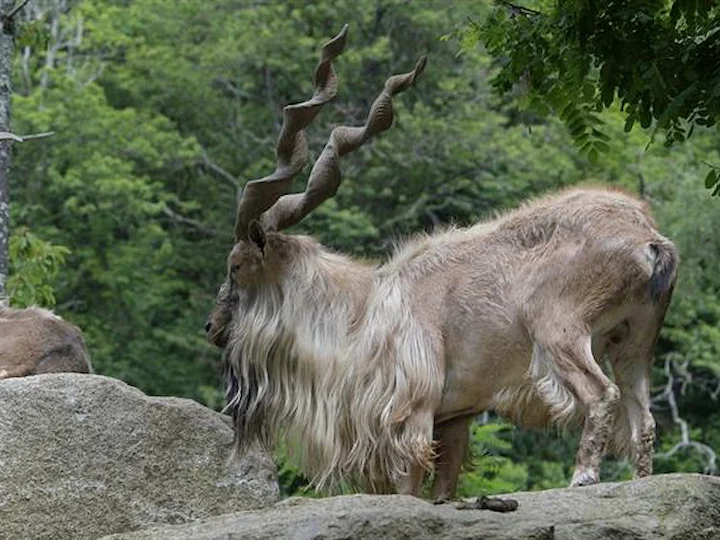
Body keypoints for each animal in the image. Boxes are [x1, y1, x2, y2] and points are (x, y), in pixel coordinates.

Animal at [205, 26, 678, 500]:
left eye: (235, 266)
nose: (211, 327)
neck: (362, 310)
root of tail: (648, 238)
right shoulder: (455, 417)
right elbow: (445, 487)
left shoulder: (411, 411)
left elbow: (410, 485)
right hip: (635, 342)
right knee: (643, 419)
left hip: (559, 330)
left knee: (602, 394)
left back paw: (582, 476)